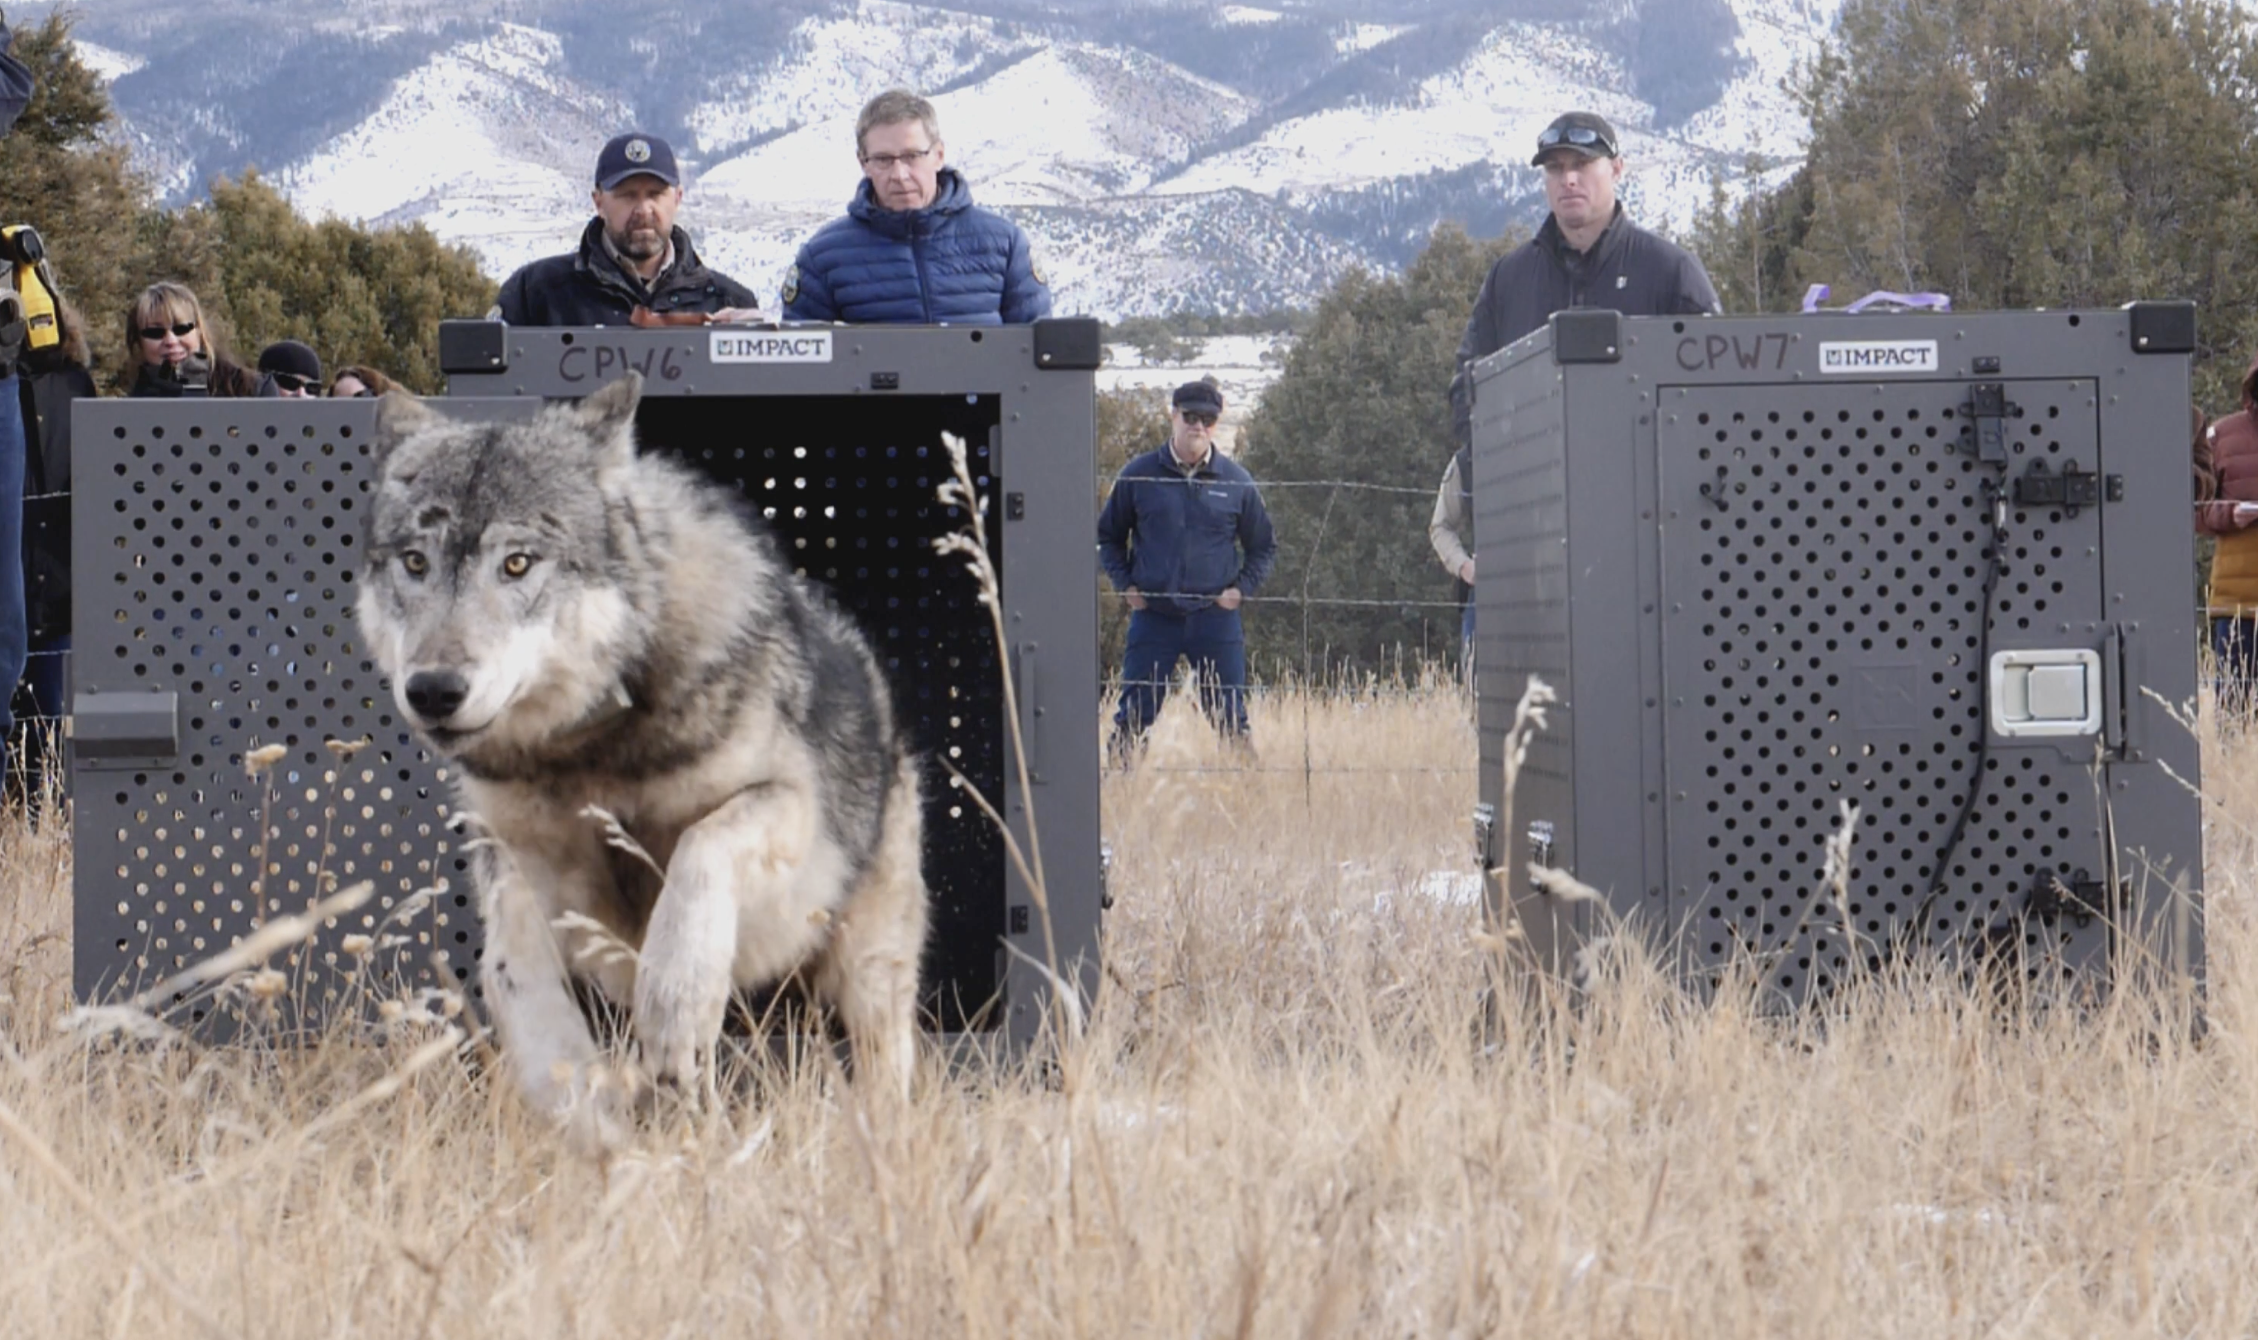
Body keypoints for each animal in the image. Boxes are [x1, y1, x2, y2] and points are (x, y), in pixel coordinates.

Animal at [357, 372, 928, 1140]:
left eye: (517, 563)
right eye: (415, 563)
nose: (434, 691)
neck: (591, 751)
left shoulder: (788, 809)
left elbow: (699, 850)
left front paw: (677, 1003)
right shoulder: (515, 857)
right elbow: (510, 970)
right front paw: (571, 1091)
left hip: (867, 967)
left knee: (884, 1062)